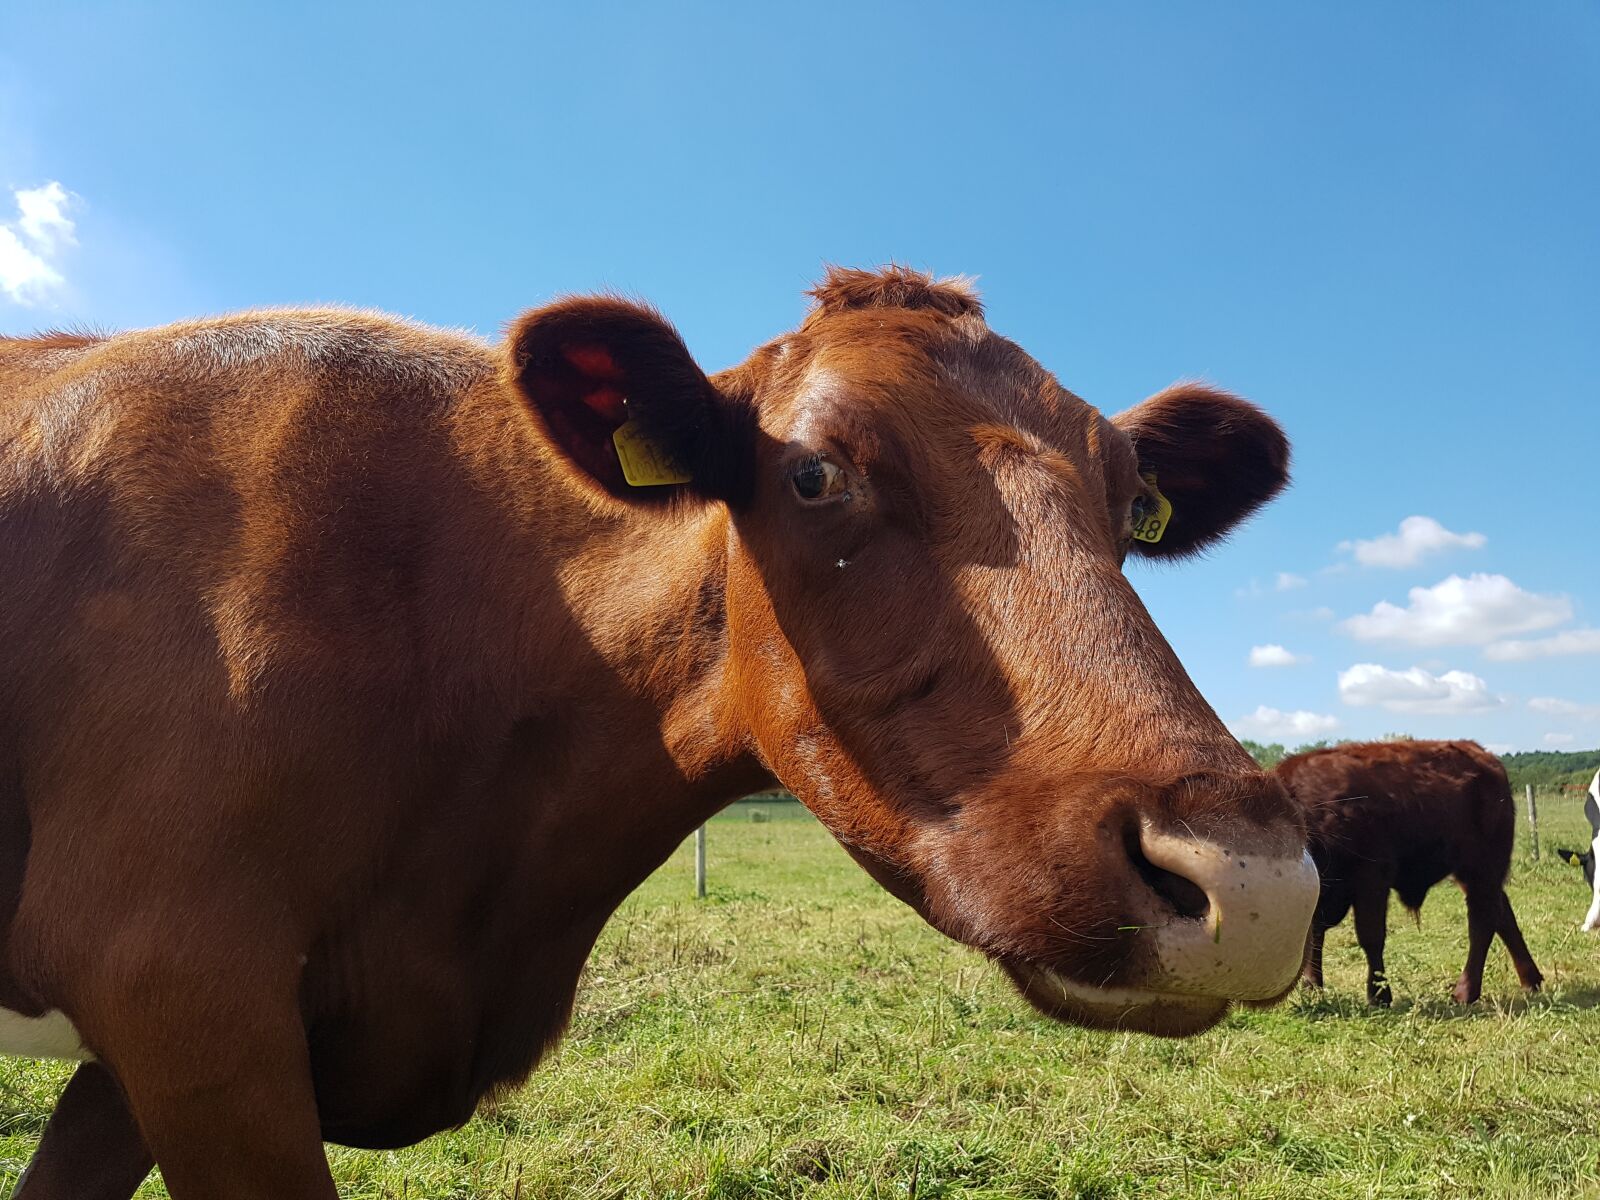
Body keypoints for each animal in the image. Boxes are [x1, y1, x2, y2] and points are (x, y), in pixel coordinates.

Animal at [1277, 739, 1543, 1006]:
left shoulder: (1372, 880)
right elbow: (1314, 936)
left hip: (1481, 868)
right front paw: (1312, 987)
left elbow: (1370, 936)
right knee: (1502, 914)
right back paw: (1531, 981)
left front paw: (1379, 995)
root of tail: (1484, 756)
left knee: (1482, 921)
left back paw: (1465, 992)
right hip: (1476, 876)